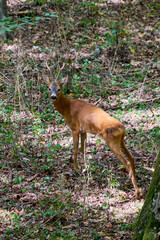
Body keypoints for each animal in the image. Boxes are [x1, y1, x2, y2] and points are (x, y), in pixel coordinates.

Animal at [43, 68, 140, 198]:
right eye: (49, 88)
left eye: (59, 88)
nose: (53, 96)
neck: (66, 108)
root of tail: (123, 128)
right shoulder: (84, 130)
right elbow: (83, 149)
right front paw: (85, 168)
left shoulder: (74, 128)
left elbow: (75, 149)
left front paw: (76, 168)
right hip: (121, 140)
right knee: (132, 157)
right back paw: (136, 185)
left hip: (111, 141)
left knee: (127, 162)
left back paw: (136, 192)